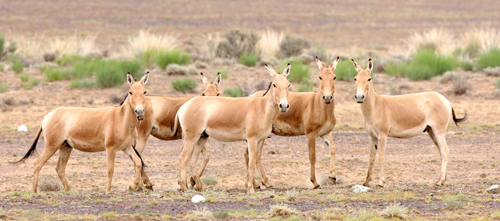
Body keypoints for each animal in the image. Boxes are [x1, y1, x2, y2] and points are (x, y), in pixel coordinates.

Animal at [17, 73, 150, 193]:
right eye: (130, 92)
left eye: (144, 92)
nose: (139, 112)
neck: (120, 118)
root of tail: (47, 116)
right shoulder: (110, 148)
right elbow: (110, 170)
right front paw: (107, 191)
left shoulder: (126, 147)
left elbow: (138, 163)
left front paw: (132, 186)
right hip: (52, 146)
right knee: (37, 164)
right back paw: (34, 191)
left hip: (65, 147)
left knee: (59, 168)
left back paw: (68, 191)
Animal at [173, 64, 292, 193]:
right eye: (274, 84)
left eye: (288, 85)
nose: (284, 106)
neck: (262, 108)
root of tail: (184, 105)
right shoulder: (252, 139)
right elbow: (251, 162)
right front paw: (251, 189)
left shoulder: (260, 140)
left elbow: (256, 159)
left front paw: (254, 185)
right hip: (192, 137)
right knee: (183, 158)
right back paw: (184, 187)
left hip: (202, 137)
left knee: (193, 159)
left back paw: (199, 186)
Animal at [244, 56, 342, 188]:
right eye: (320, 77)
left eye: (334, 77)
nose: (327, 97)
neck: (319, 105)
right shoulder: (310, 135)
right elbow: (312, 156)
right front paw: (314, 182)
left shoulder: (325, 133)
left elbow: (333, 149)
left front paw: (332, 177)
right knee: (255, 155)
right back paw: (264, 182)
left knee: (248, 154)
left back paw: (256, 183)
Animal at [354, 58, 466, 186]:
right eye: (355, 78)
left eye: (369, 79)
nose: (359, 97)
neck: (376, 106)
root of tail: (445, 100)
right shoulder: (372, 136)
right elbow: (371, 158)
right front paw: (366, 181)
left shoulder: (382, 135)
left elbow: (381, 156)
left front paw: (381, 181)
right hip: (431, 131)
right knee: (441, 151)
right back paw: (442, 179)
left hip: (439, 130)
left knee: (445, 151)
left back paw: (440, 181)